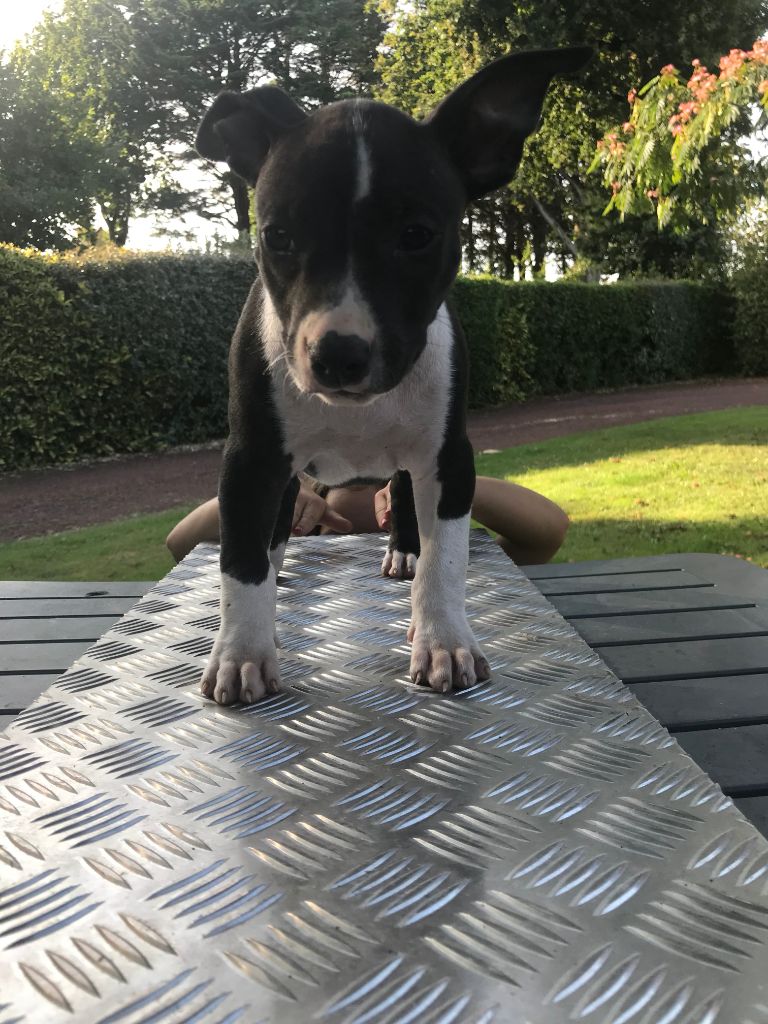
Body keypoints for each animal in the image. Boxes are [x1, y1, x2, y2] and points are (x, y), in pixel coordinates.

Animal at [195, 47, 591, 705]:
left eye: (416, 236)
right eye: (278, 237)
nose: (338, 353)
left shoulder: (449, 458)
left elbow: (446, 560)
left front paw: (444, 641)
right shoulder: (251, 459)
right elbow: (242, 563)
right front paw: (242, 653)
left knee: (406, 501)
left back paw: (404, 552)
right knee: (273, 534)